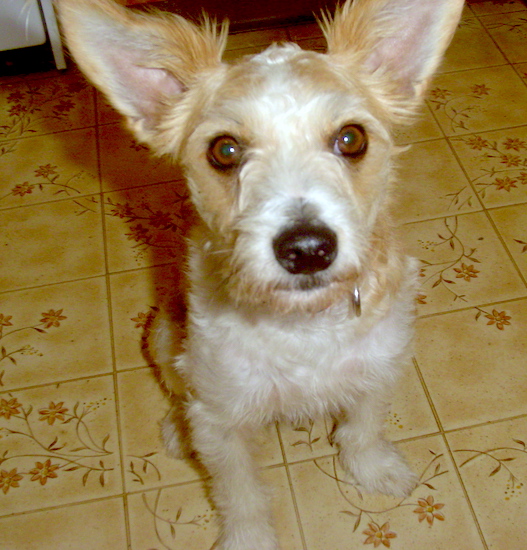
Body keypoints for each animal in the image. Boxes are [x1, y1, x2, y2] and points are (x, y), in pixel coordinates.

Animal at [55, 2, 464, 548]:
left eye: (351, 138)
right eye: (224, 150)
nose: (308, 250)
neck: (301, 324)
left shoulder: (380, 364)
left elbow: (362, 428)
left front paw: (374, 470)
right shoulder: (221, 423)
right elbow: (239, 491)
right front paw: (248, 537)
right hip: (163, 338)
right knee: (177, 391)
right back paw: (176, 430)